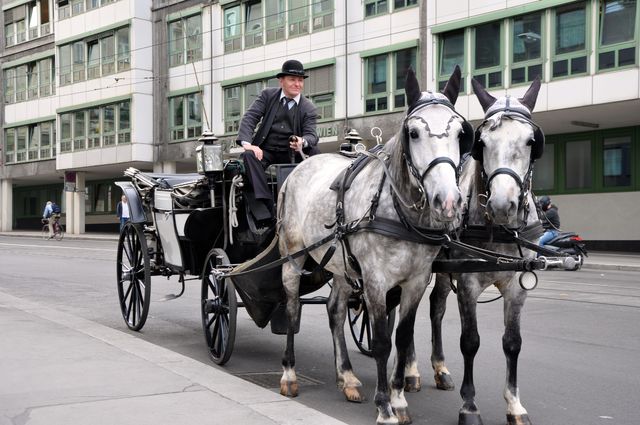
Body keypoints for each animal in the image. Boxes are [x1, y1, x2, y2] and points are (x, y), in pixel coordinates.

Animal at [276, 66, 470, 424]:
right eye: (413, 133)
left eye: (460, 133)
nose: (448, 201)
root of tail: (299, 166)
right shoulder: (377, 281)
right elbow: (381, 342)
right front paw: (384, 407)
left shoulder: (416, 281)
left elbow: (402, 338)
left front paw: (400, 399)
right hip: (292, 258)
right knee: (293, 310)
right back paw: (290, 376)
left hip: (341, 266)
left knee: (335, 311)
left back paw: (347, 377)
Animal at [430, 76, 544, 424]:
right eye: (482, 142)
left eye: (531, 142)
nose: (502, 204)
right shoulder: (468, 283)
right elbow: (470, 341)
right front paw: (469, 407)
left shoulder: (517, 287)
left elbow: (512, 343)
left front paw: (514, 405)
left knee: (436, 306)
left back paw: (439, 369)